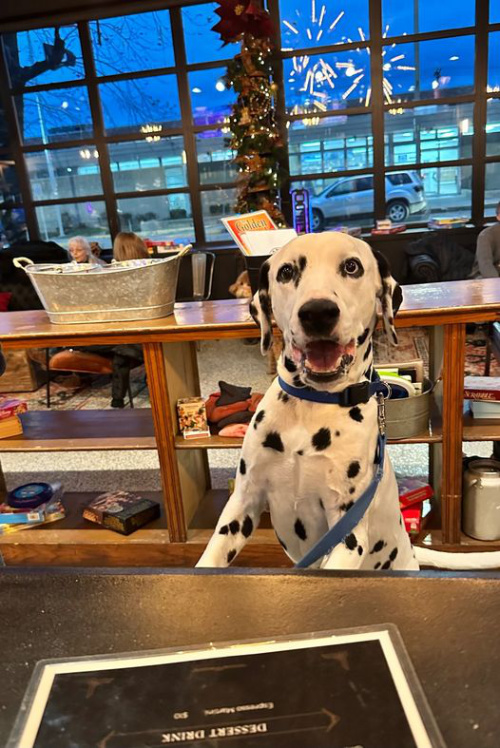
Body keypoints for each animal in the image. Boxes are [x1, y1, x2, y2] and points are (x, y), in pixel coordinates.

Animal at [196, 234, 500, 572]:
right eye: (286, 272)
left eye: (352, 266)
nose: (317, 312)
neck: (312, 407)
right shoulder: (242, 505)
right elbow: (211, 557)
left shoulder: (349, 535)